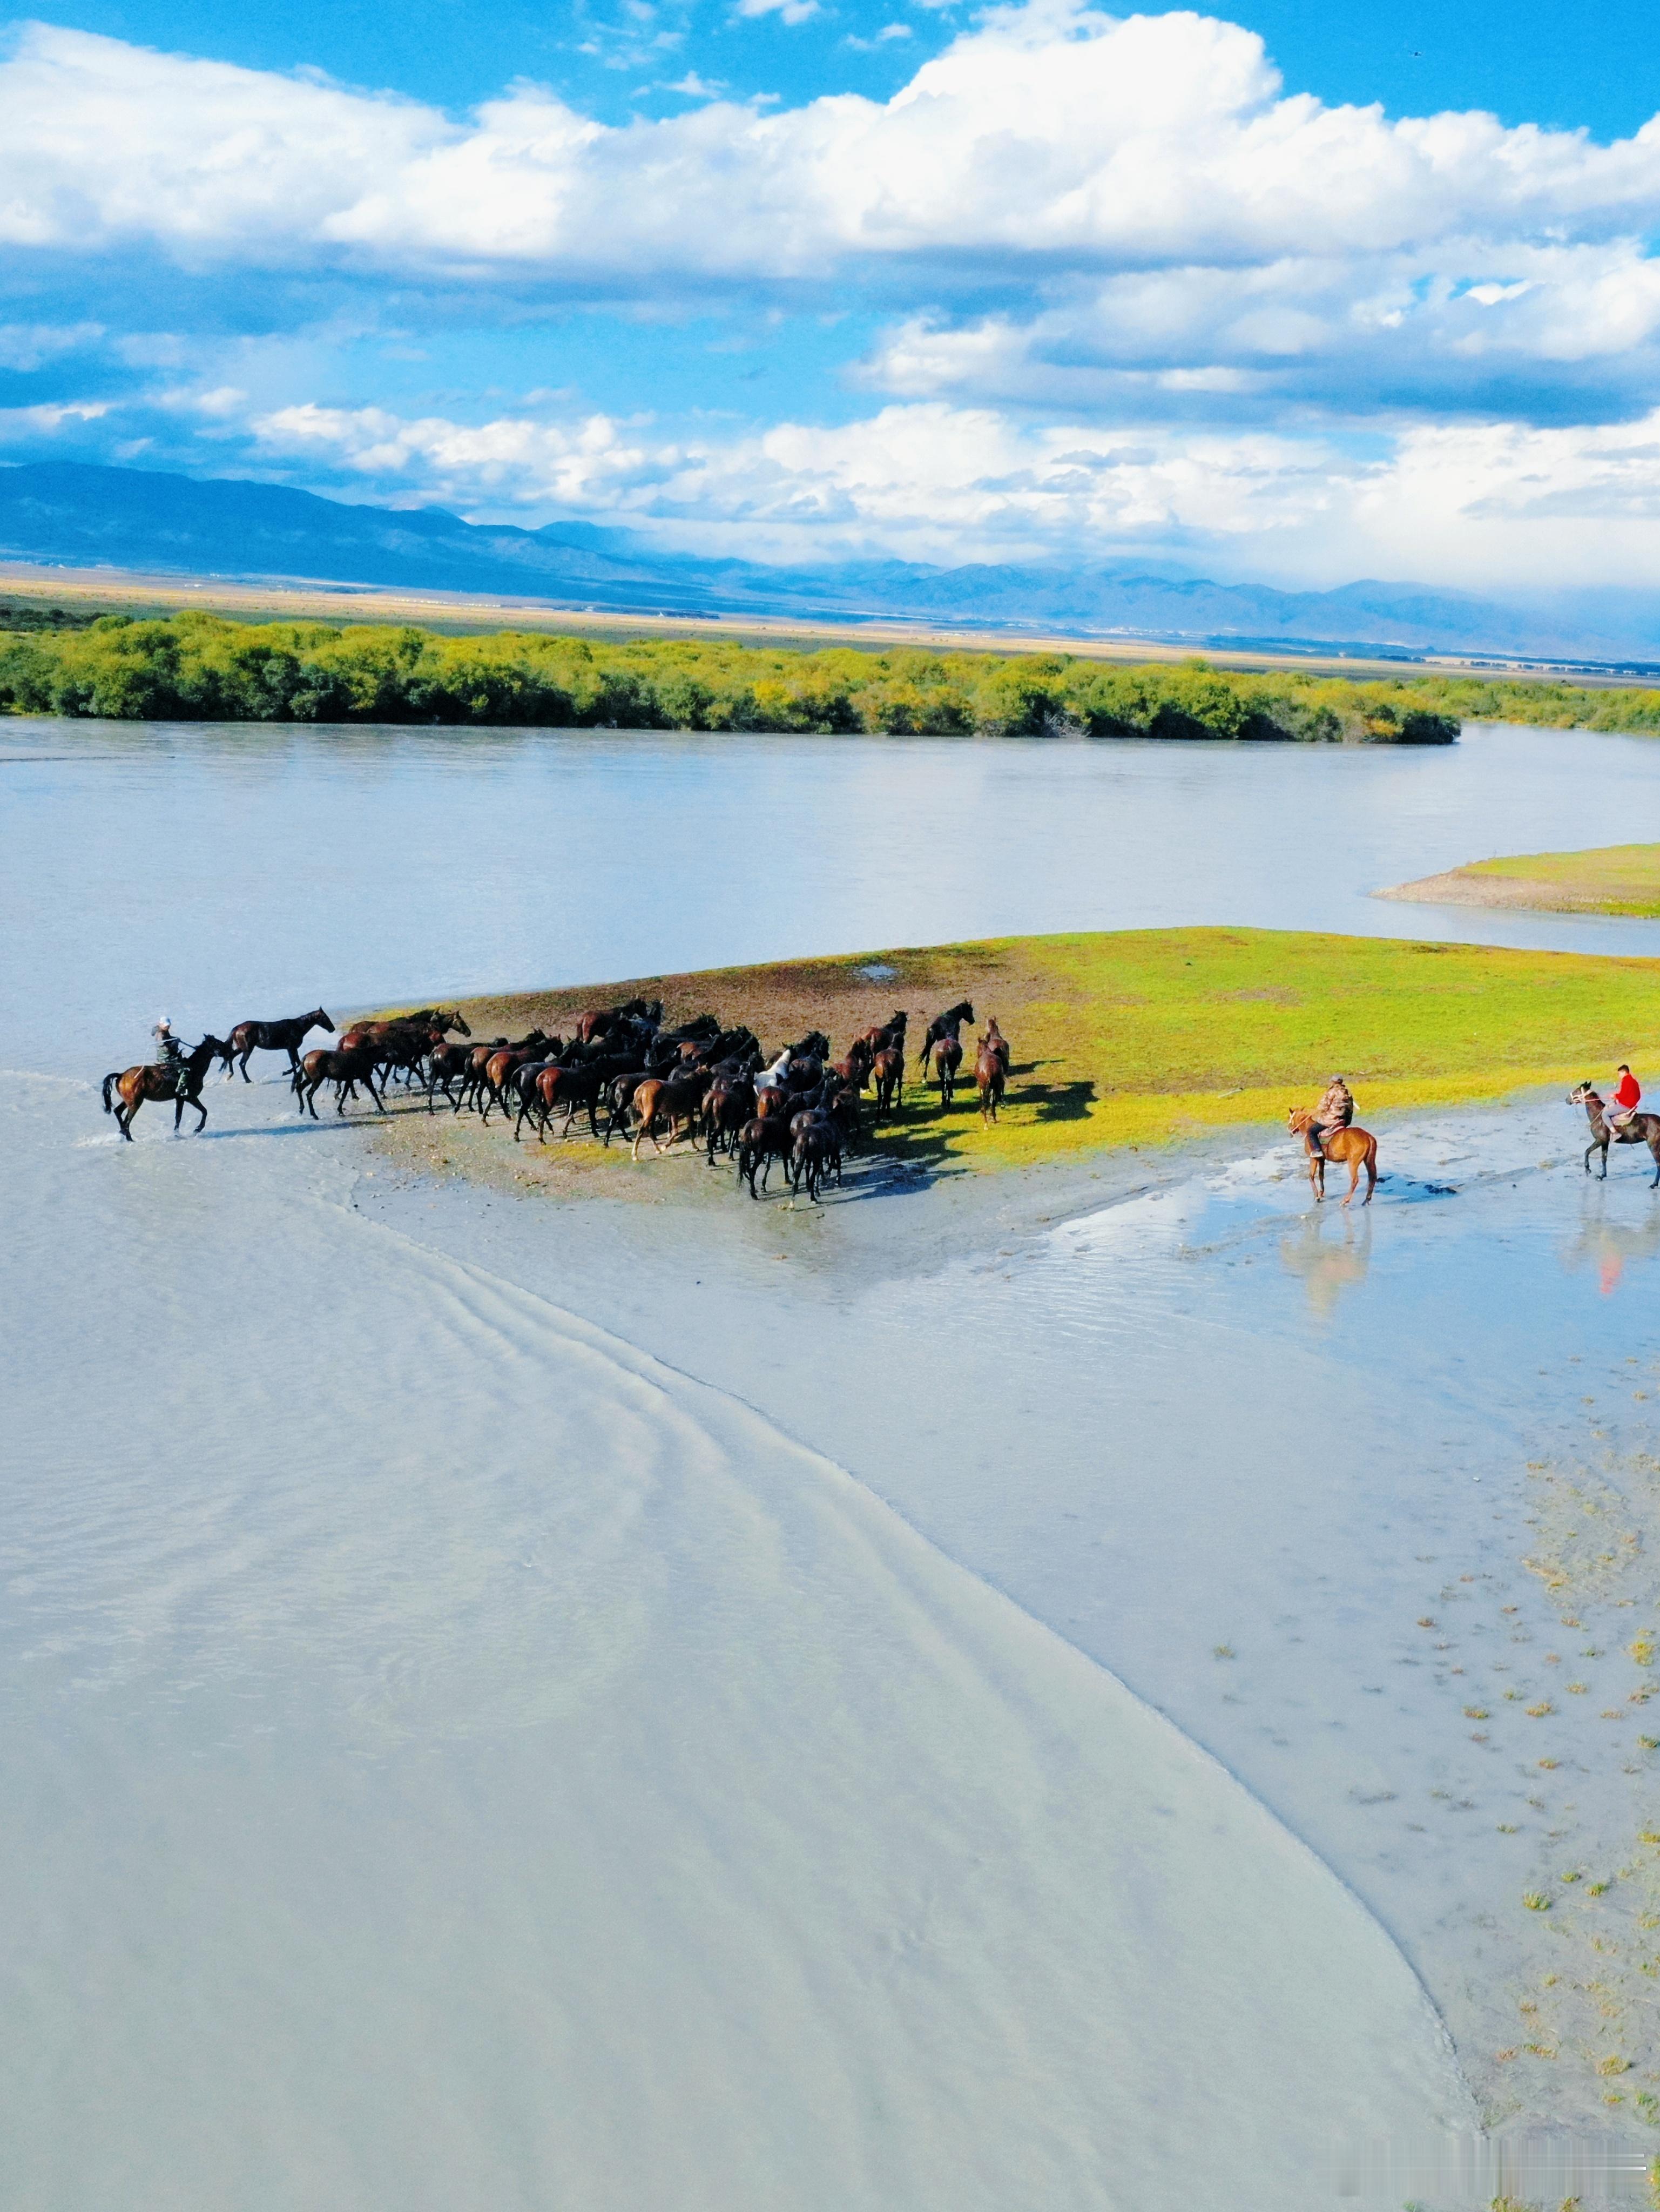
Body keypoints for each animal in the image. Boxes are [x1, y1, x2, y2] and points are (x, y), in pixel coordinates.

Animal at [102, 1035, 231, 1141]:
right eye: (217, 1043)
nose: (230, 1051)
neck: (194, 1069)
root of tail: (121, 1075)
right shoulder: (190, 1097)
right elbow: (204, 1111)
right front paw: (197, 1129)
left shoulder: (180, 1099)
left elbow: (179, 1117)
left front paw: (178, 1135)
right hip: (135, 1103)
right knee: (126, 1122)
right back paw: (130, 1139)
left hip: (129, 1101)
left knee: (118, 1112)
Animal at [1576, 1079, 1660, 1185]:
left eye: (1576, 1091)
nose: (1567, 1100)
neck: (1599, 1116)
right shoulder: (1605, 1142)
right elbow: (1604, 1158)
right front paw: (1602, 1176)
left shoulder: (1600, 1140)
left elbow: (1587, 1151)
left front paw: (1588, 1169)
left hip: (1653, 1145)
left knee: (1658, 1163)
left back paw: (1654, 1184)